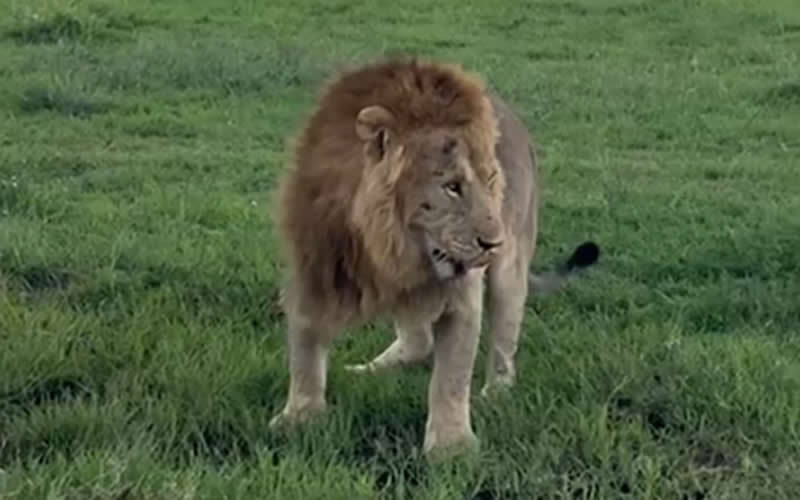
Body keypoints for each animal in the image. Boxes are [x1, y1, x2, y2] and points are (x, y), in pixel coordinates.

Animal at [269, 57, 599, 457]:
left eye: (492, 181)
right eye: (452, 187)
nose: (493, 242)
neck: (390, 248)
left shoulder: (460, 298)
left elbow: (452, 378)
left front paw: (449, 449)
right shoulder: (313, 264)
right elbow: (304, 349)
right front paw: (298, 419)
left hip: (511, 271)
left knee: (504, 343)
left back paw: (494, 395)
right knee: (418, 341)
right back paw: (368, 369)